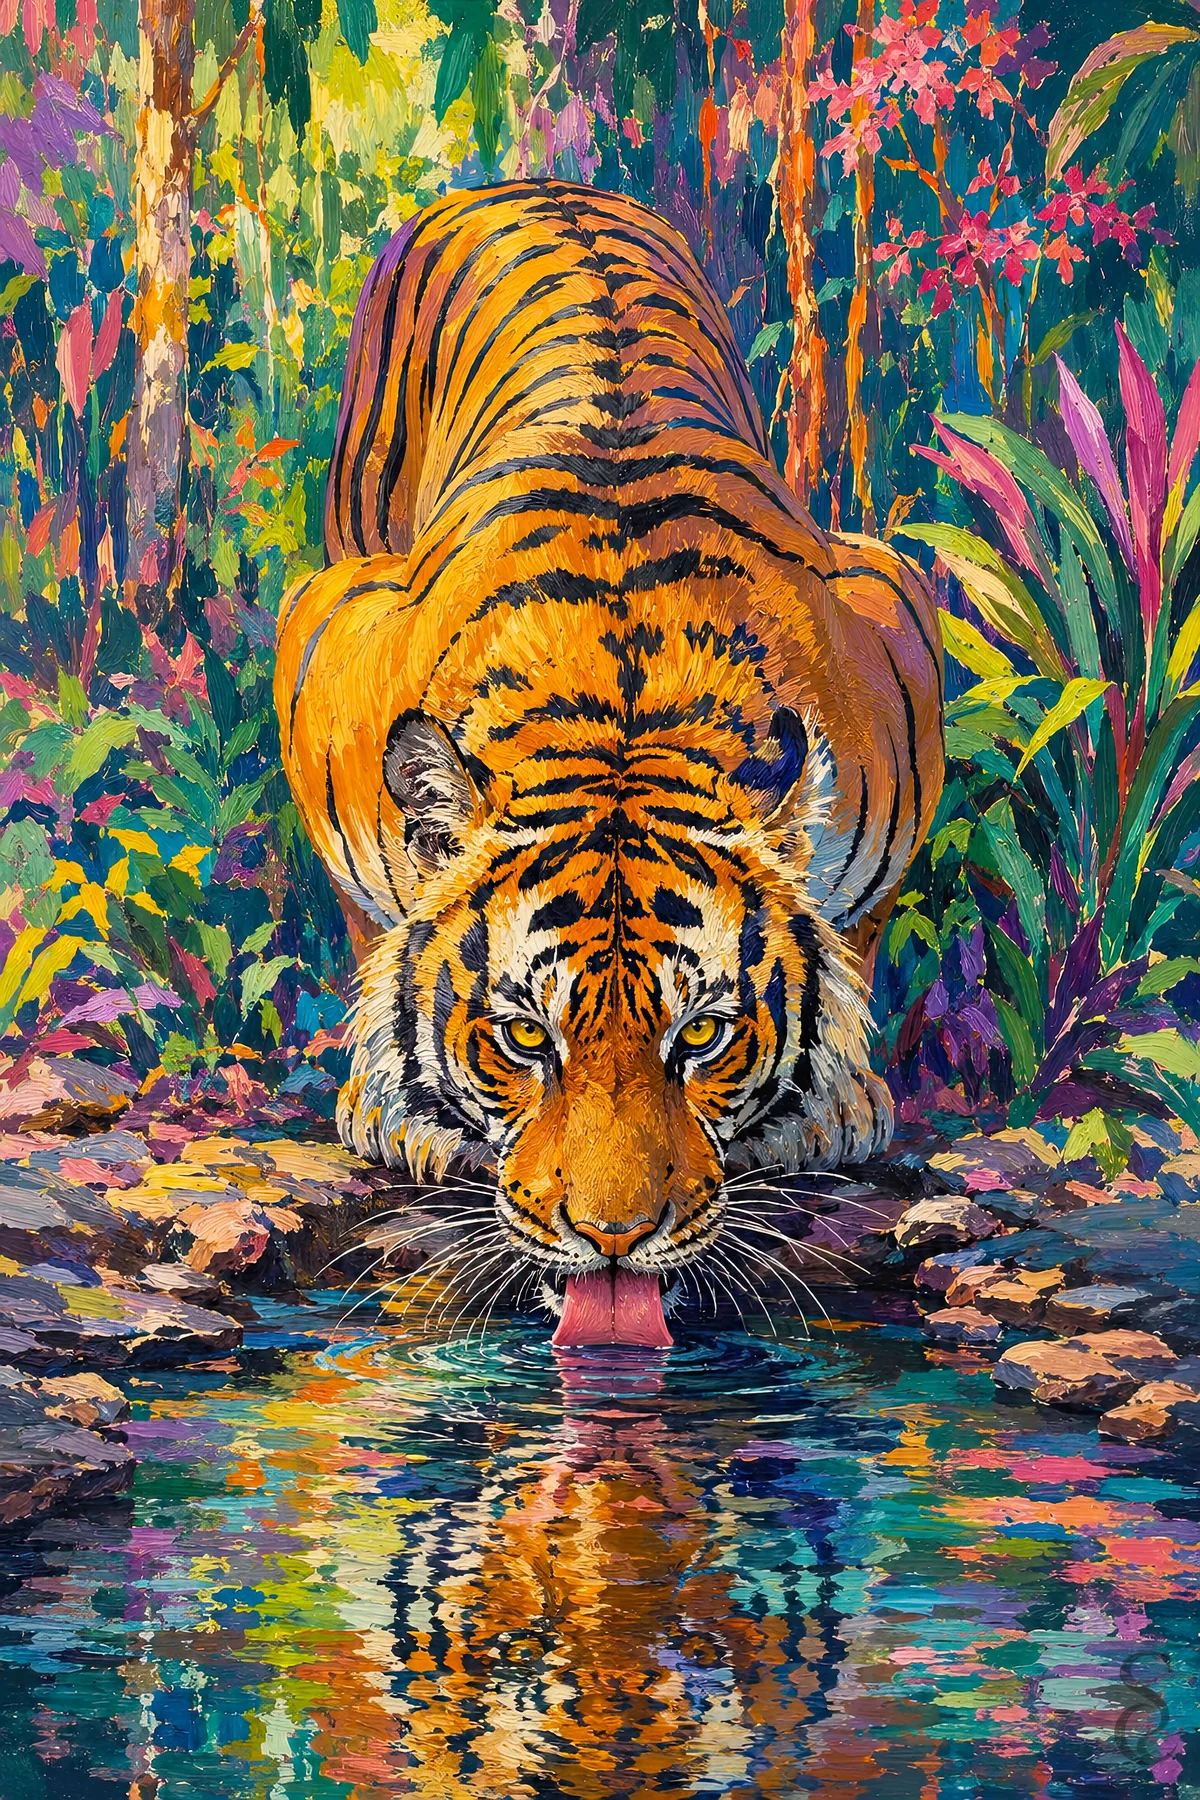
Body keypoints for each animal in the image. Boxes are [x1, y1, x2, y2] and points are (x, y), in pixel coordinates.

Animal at [275, 180, 943, 1344]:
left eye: (707, 1035)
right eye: (520, 1039)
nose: (615, 1236)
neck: (621, 728)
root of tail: (536, 184)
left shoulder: (895, 626)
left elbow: (855, 928)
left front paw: (836, 1100)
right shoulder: (326, 635)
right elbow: (370, 918)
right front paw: (391, 1102)